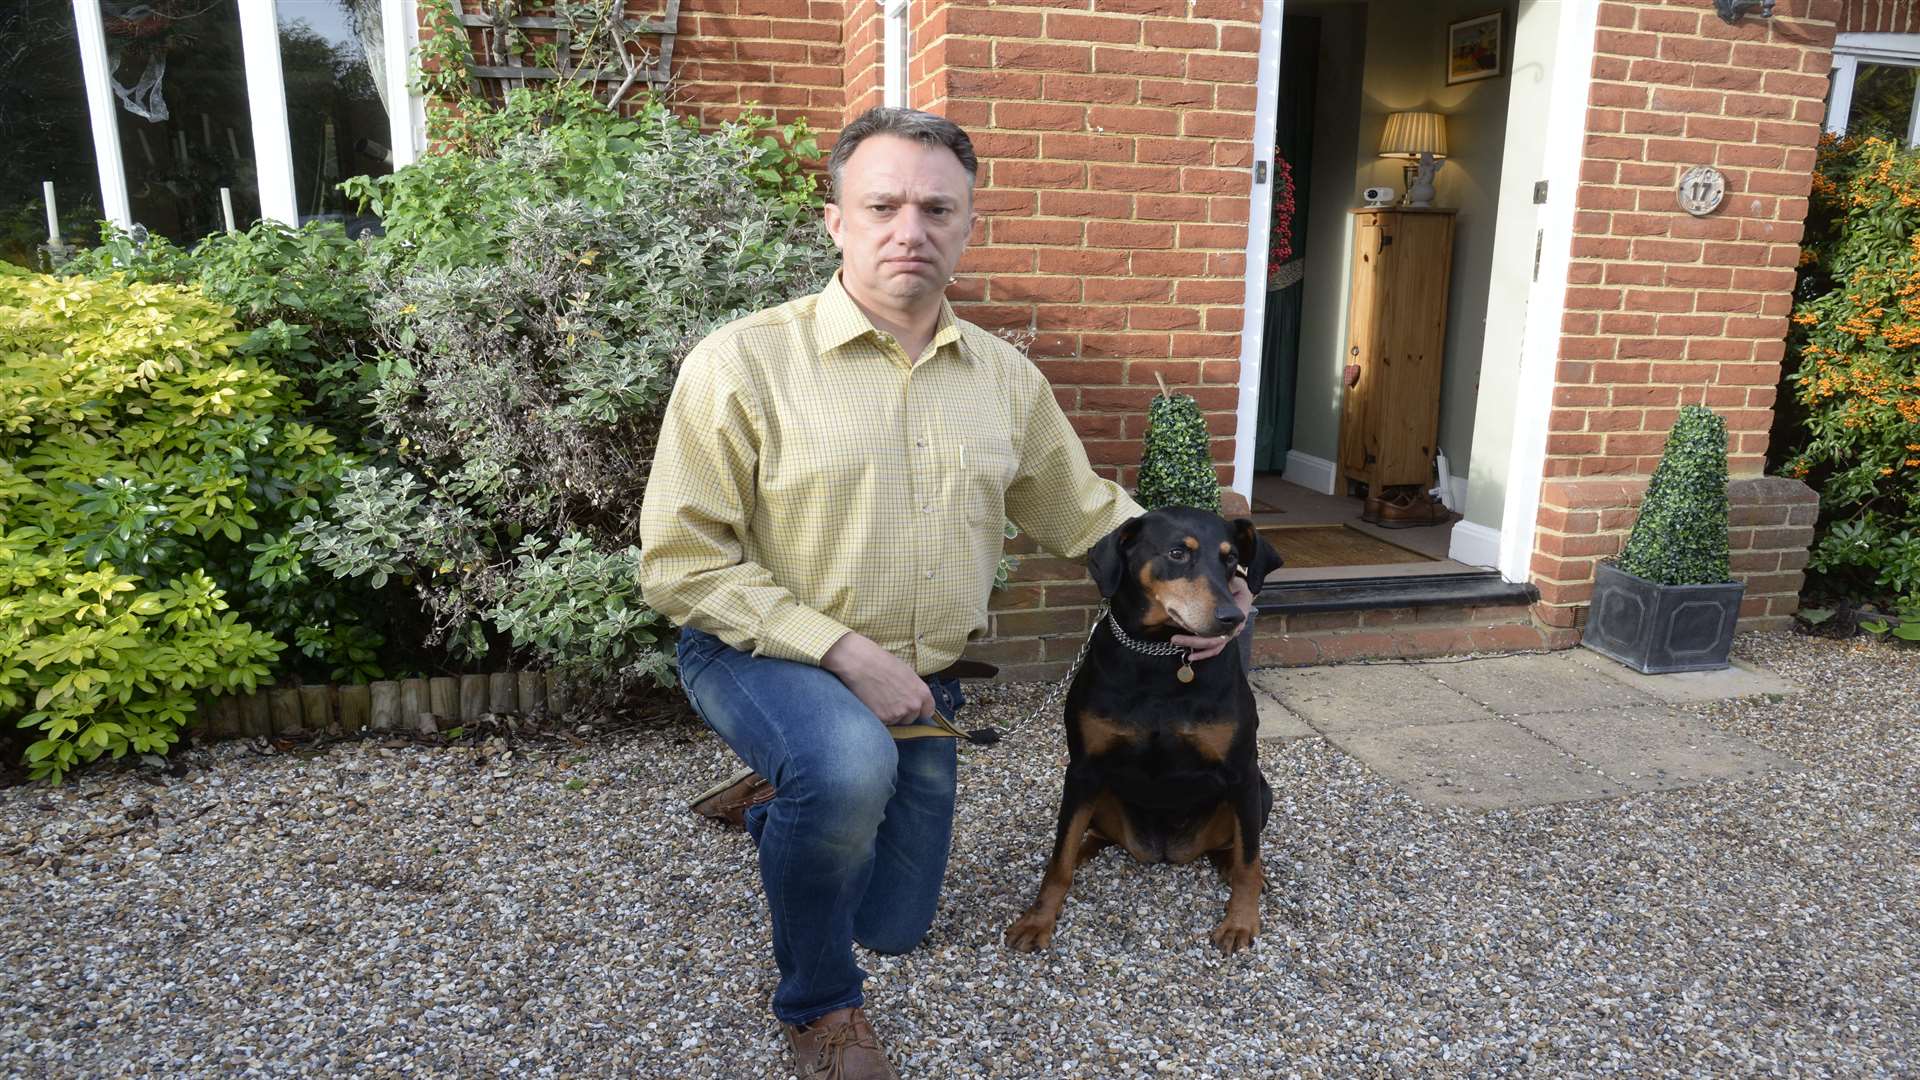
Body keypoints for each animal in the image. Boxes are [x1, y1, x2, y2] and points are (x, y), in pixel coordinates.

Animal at [998, 507, 1282, 949]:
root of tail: (1164, 852)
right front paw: (1038, 919)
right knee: (1085, 837)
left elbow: (1248, 859)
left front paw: (1240, 921)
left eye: (1232, 558)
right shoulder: (1083, 769)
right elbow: (1059, 858)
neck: (1161, 656)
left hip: (1259, 792)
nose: (1231, 617)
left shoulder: (1242, 771)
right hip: (1098, 792)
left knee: (1237, 846)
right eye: (1178, 553)